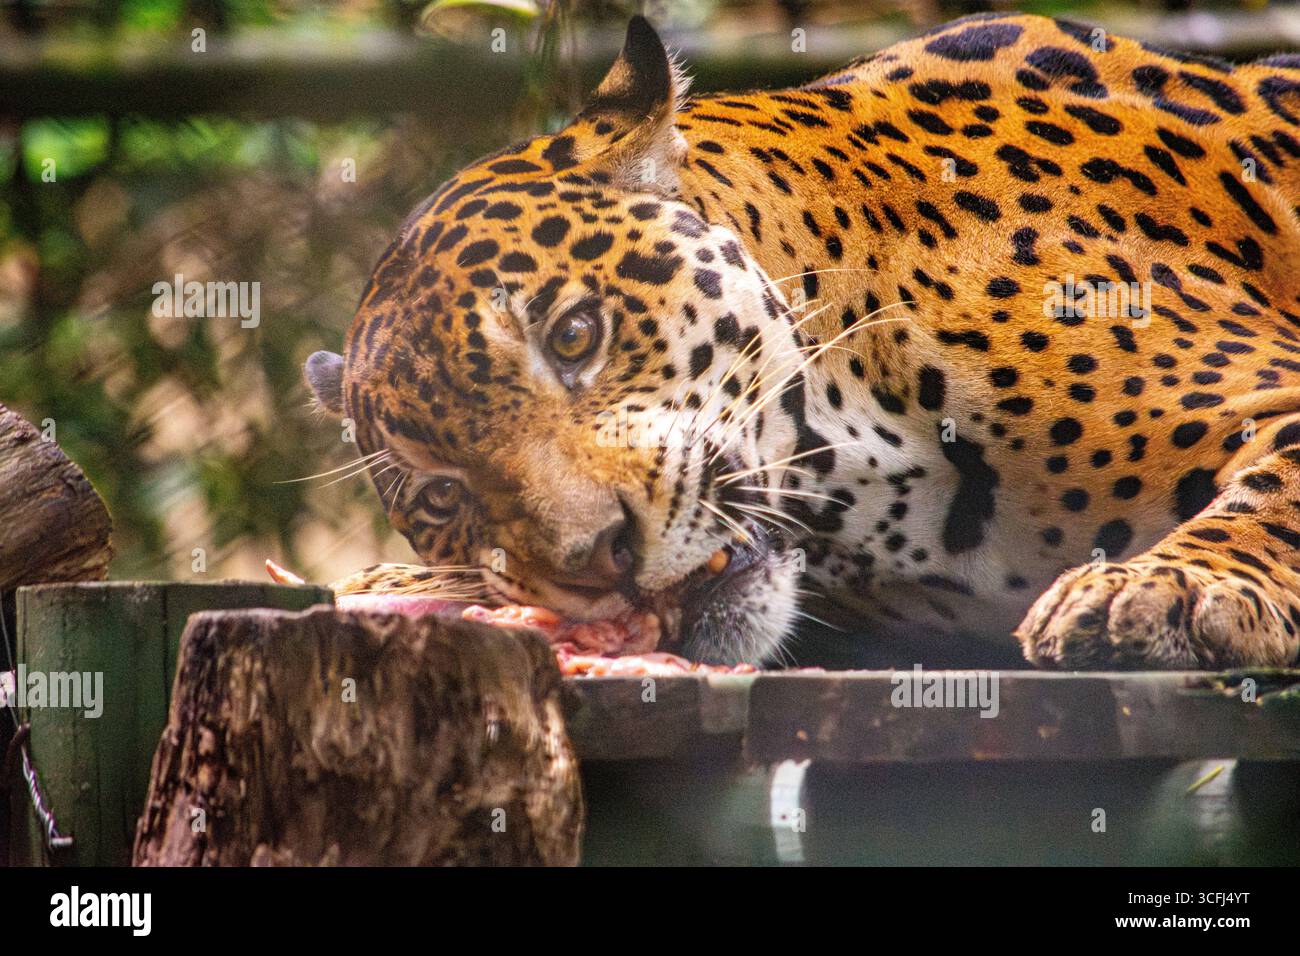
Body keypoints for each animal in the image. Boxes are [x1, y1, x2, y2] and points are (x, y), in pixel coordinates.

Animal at [305, 12, 1300, 671]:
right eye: (442, 495)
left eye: (575, 334)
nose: (599, 562)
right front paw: (399, 585)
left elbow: (1271, 493)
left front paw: (1173, 589)